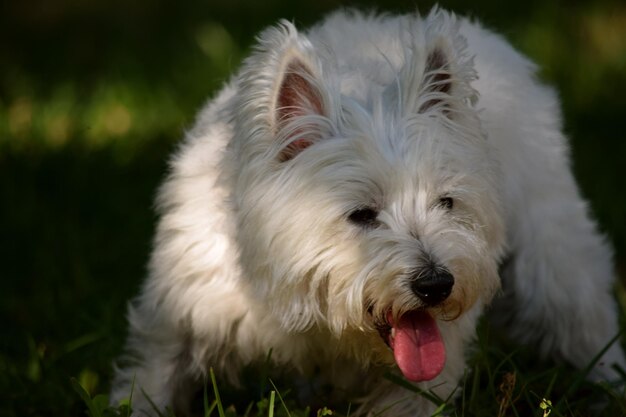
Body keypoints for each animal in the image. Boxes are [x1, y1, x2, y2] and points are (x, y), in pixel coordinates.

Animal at [109, 8, 620, 414]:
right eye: (360, 214)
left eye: (446, 202)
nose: (436, 284)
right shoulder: (184, 313)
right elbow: (152, 379)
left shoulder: (421, 378)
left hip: (551, 253)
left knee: (586, 320)